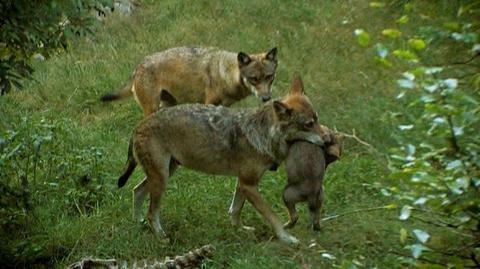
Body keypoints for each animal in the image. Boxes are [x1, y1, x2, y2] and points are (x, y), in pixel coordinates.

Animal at [99, 46, 278, 115]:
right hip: (153, 108)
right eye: (254, 79)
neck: (225, 74)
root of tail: (138, 67)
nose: (266, 98)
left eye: (269, 77)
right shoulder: (209, 104)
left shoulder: (224, 106)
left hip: (168, 105)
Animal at [117, 75, 322, 243]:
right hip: (162, 178)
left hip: (166, 173)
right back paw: (160, 236)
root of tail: (138, 126)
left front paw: (239, 230)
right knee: (151, 212)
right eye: (308, 125)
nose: (327, 139)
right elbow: (272, 216)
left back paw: (139, 224)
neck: (263, 133)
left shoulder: (243, 183)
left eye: (317, 120)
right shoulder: (249, 185)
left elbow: (235, 211)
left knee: (137, 191)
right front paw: (286, 238)